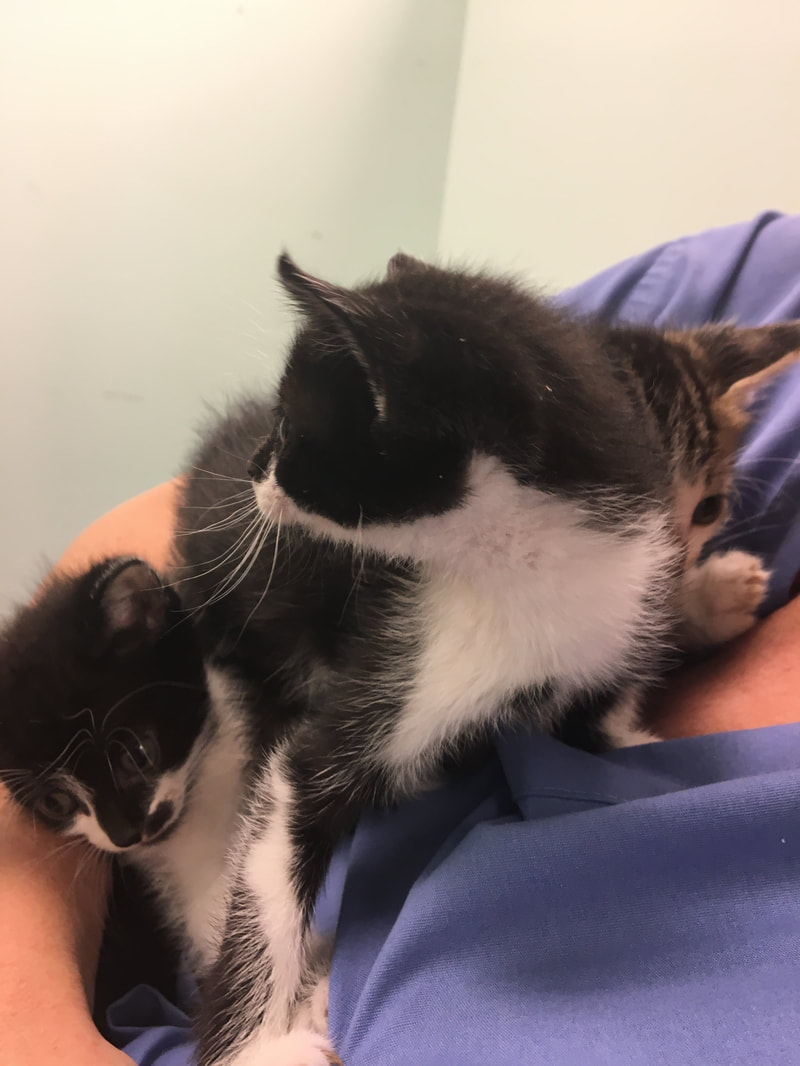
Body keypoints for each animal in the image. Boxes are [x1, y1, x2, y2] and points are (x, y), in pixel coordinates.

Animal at [173, 251, 800, 1066]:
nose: (255, 468)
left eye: (710, 509)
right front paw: (251, 1047)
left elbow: (613, 729)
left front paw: (704, 604)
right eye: (284, 418)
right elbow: (273, 850)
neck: (524, 570)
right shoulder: (379, 682)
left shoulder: (598, 654)